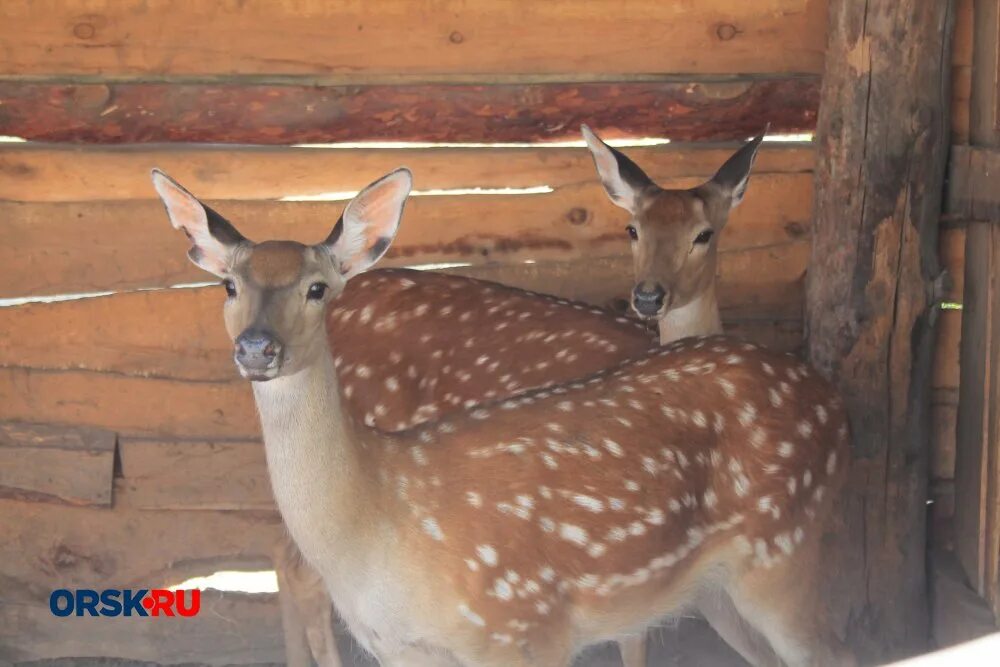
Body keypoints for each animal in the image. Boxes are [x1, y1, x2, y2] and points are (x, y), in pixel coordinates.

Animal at [154, 167, 852, 667]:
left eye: (316, 288)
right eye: (229, 286)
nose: (257, 348)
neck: (379, 519)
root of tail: (833, 399)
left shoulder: (523, 624)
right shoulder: (407, 651)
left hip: (784, 551)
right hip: (724, 588)